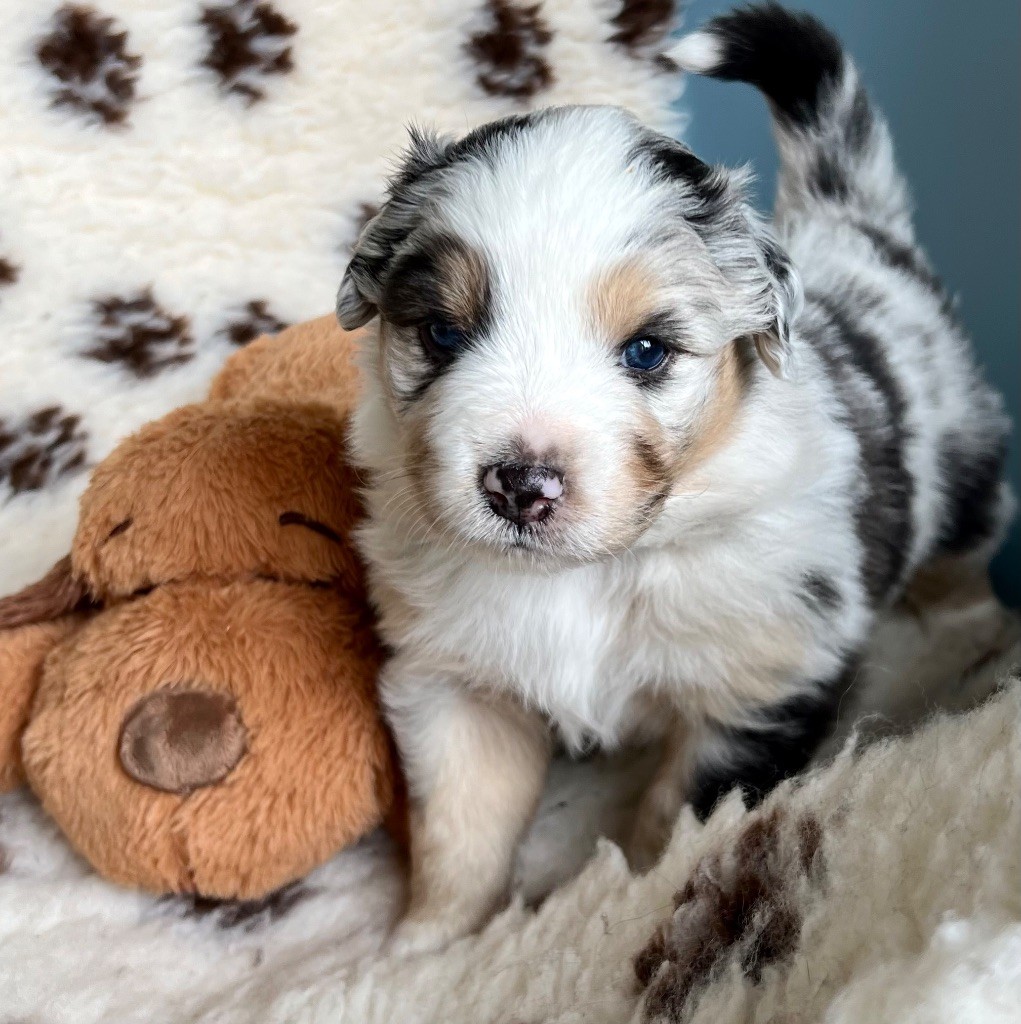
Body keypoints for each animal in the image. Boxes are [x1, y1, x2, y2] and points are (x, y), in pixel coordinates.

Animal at [337, 4, 1012, 955]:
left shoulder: (759, 682)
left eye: (647, 351)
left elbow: (676, 821)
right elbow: (461, 831)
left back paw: (967, 638)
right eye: (440, 333)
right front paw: (425, 945)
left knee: (963, 558)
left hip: (967, 471)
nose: (519, 484)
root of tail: (855, 228)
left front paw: (631, 905)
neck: (587, 577)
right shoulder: (454, 684)